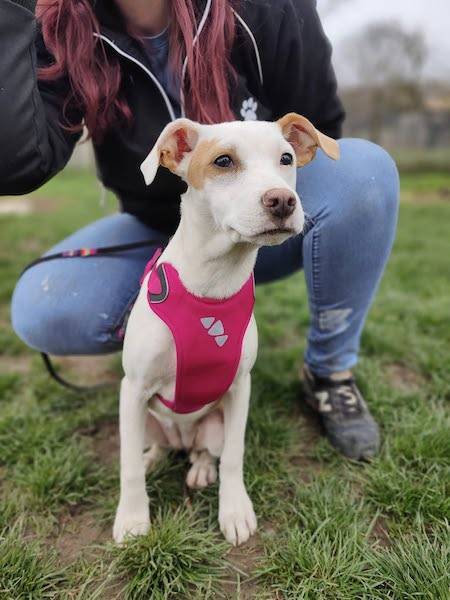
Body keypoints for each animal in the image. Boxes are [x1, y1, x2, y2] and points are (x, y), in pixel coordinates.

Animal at [113, 113, 339, 546]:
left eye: (286, 158)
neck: (214, 283)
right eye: (223, 162)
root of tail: (183, 437)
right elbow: (127, 466)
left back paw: (201, 468)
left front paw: (234, 511)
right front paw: (132, 519)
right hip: (146, 420)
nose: (282, 200)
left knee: (206, 451)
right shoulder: (133, 388)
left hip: (212, 426)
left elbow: (234, 456)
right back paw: (154, 458)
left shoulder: (239, 389)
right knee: (153, 448)